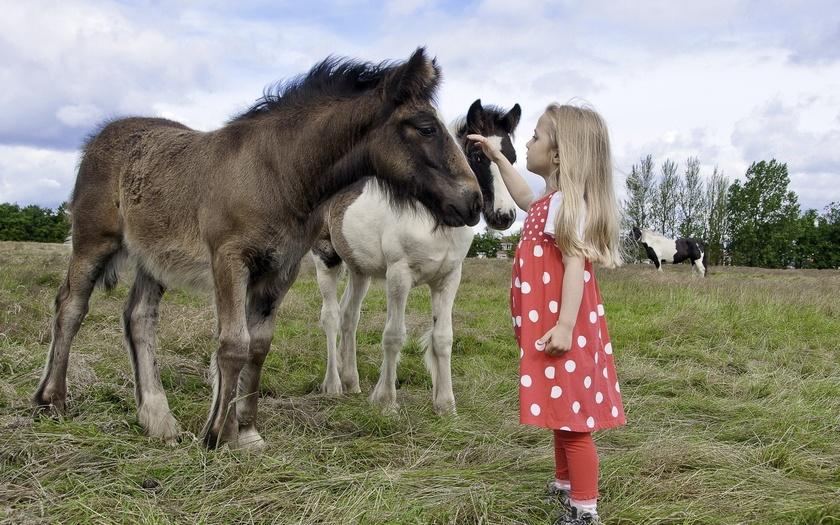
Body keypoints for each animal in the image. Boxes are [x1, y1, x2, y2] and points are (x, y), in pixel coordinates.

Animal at [32, 47, 482, 446]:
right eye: (426, 127)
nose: (473, 201)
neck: (277, 172)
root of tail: (100, 136)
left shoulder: (279, 271)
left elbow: (259, 346)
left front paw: (245, 432)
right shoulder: (230, 260)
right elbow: (234, 345)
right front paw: (216, 435)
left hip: (152, 259)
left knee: (139, 318)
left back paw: (159, 420)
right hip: (93, 242)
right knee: (71, 306)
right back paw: (51, 401)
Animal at [308, 99, 520, 414]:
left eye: (513, 158)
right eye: (477, 156)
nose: (504, 216)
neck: (435, 218)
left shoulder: (449, 278)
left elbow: (443, 338)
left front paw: (446, 404)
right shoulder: (399, 274)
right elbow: (393, 335)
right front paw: (386, 400)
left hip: (360, 272)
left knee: (349, 316)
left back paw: (351, 382)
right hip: (326, 259)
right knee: (331, 316)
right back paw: (333, 385)